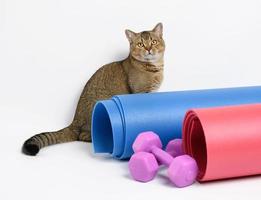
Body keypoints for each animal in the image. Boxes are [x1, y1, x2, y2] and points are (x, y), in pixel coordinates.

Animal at [22, 22, 165, 155]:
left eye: (153, 41)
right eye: (140, 44)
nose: (148, 49)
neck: (153, 68)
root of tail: (74, 122)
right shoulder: (141, 92)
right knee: (82, 136)